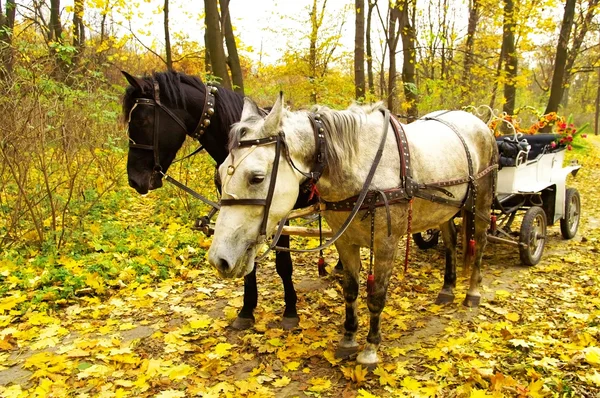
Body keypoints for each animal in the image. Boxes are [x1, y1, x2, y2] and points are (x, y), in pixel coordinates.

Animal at [122, 70, 338, 330]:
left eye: (142, 121)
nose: (135, 180)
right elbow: (246, 260)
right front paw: (246, 310)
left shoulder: (279, 214)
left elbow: (283, 263)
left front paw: (290, 310)